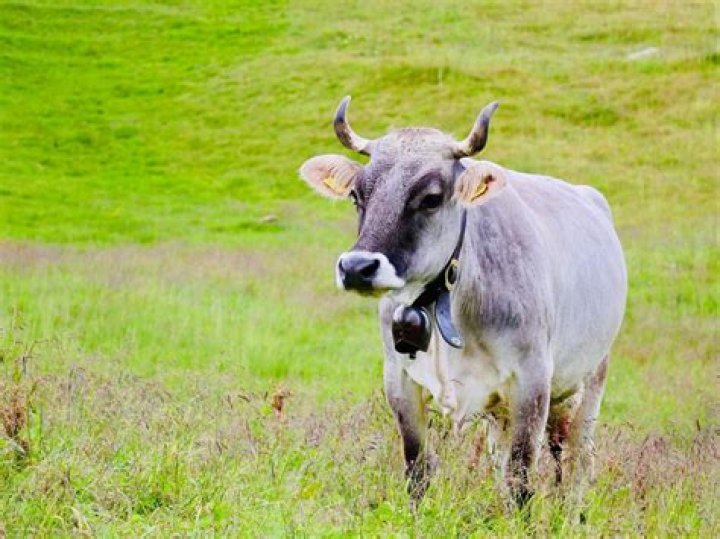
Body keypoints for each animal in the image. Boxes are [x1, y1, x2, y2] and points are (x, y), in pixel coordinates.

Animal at [299, 96, 627, 506]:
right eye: (358, 195)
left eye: (431, 198)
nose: (357, 267)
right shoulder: (399, 382)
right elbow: (418, 470)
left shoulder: (533, 382)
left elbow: (522, 477)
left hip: (592, 379)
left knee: (578, 462)